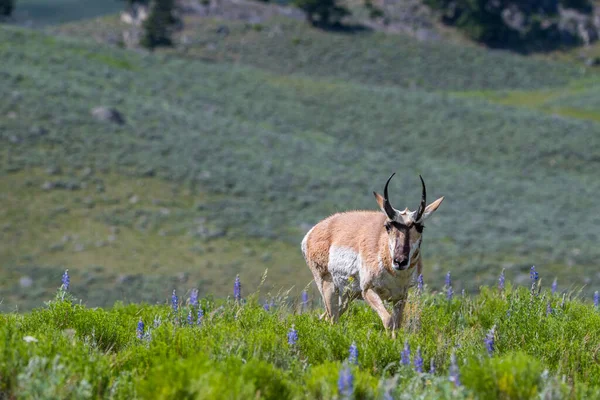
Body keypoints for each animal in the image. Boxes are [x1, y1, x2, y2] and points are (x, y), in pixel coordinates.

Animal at [302, 173, 442, 332]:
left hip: (347, 295)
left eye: (420, 227)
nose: (400, 261)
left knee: (326, 317)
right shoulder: (368, 291)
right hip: (329, 287)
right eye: (387, 226)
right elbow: (388, 321)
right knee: (333, 319)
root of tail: (313, 231)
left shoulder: (400, 296)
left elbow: (397, 324)